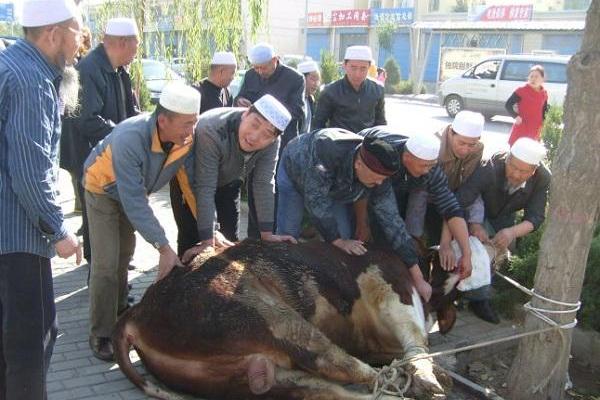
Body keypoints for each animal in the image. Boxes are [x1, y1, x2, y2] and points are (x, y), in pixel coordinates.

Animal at [113, 239, 496, 398]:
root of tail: (136, 312)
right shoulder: (391, 288)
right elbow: (417, 343)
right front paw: (430, 378)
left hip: (247, 378)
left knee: (331, 390)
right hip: (269, 316)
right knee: (347, 367)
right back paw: (416, 386)